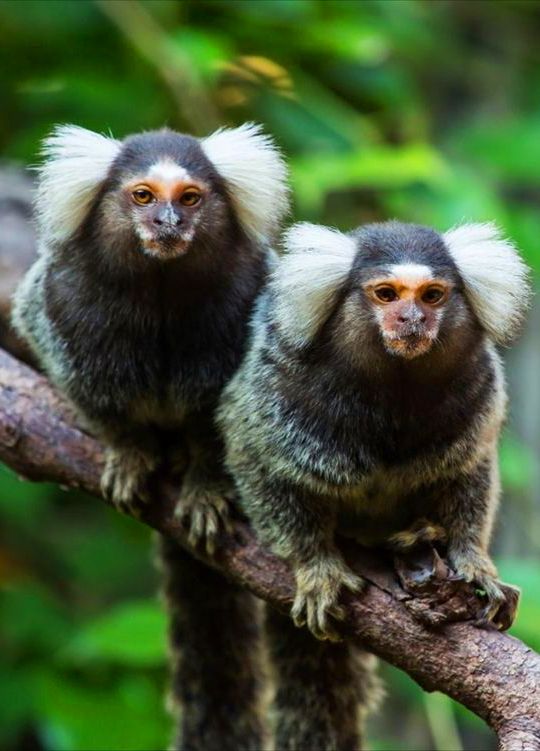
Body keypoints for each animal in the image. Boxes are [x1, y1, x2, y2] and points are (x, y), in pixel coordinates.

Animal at [11, 123, 286, 751]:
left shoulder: (248, 302)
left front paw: (206, 484)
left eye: (189, 198)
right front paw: (130, 451)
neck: (160, 292)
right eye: (142, 196)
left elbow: (227, 420)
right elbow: (83, 380)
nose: (167, 222)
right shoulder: (63, 300)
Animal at [217, 220, 528, 748]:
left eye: (432, 295)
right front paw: (315, 566)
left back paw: (417, 535)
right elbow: (257, 457)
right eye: (386, 294)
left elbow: (469, 472)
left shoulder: (478, 391)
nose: (411, 319)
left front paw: (474, 562)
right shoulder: (277, 386)